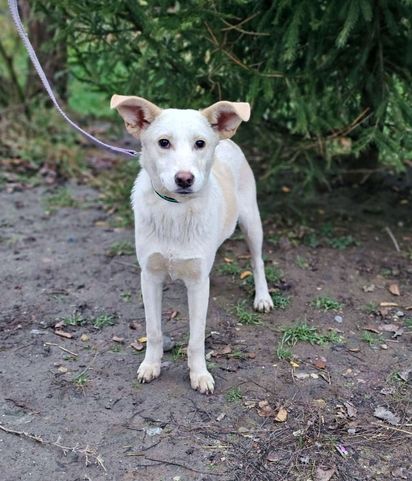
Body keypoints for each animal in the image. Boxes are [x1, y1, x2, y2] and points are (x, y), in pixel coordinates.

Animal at [111, 95, 274, 392]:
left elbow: (196, 338)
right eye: (163, 142)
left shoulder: (198, 285)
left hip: (252, 222)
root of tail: (227, 141)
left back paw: (263, 297)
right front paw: (150, 366)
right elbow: (154, 331)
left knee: (257, 261)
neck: (175, 209)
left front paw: (199, 375)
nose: (185, 179)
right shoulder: (149, 277)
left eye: (200, 143)